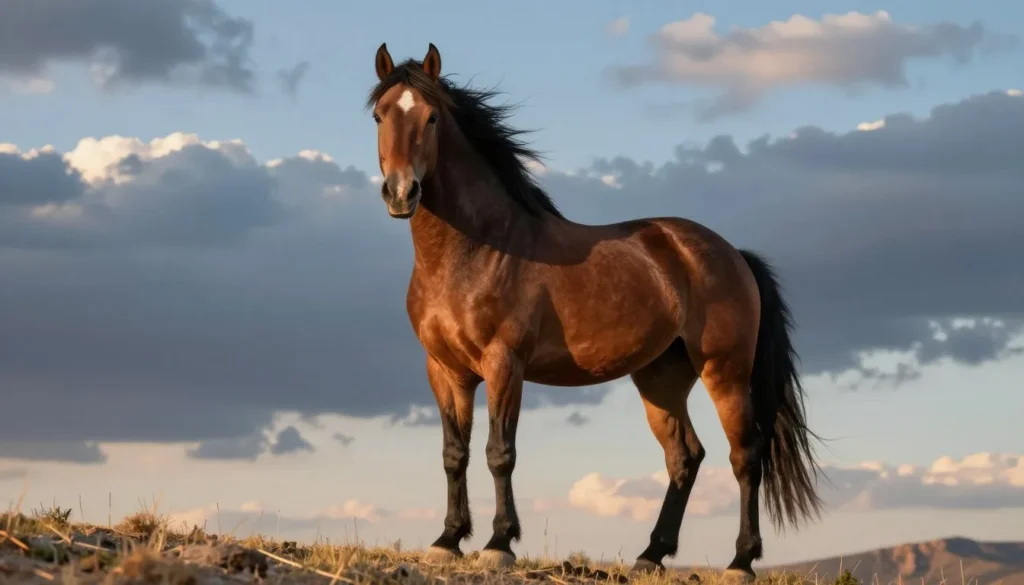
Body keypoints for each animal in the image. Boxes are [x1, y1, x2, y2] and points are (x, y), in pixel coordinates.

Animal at [365, 42, 824, 581]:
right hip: (660, 379)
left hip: (724, 371)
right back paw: (650, 555)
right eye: (379, 115)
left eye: (432, 117)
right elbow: (454, 454)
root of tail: (732, 253)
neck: (476, 252)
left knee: (745, 456)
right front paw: (448, 539)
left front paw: (499, 543)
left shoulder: (504, 365)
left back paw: (741, 561)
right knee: (685, 457)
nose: (401, 192)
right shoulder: (444, 370)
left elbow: (500, 452)